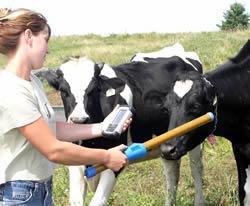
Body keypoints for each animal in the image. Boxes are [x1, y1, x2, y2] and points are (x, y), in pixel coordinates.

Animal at [37, 42, 205, 205]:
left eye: (93, 90)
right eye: (63, 91)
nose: (79, 120)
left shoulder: (114, 163)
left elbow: (97, 201)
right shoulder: (75, 164)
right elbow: (76, 200)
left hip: (193, 137)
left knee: (196, 169)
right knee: (172, 174)